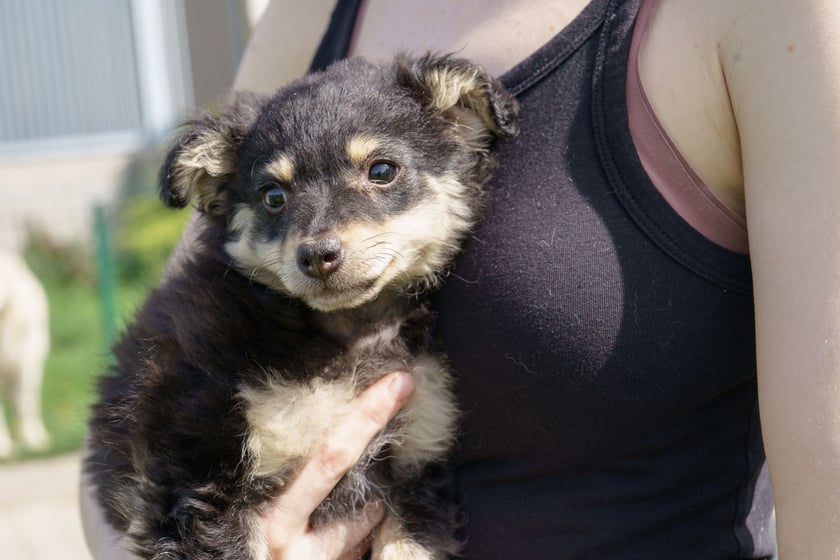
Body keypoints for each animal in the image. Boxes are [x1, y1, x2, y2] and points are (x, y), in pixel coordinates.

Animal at [87, 53, 520, 560]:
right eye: (273, 196)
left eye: (381, 170)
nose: (316, 256)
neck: (349, 337)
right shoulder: (203, 479)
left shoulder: (419, 459)